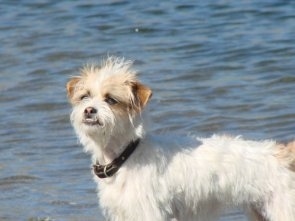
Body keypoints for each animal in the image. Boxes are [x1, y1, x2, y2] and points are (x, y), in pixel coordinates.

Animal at [67, 56, 295, 220]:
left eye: (111, 100)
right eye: (85, 96)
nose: (89, 110)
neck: (125, 155)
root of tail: (281, 153)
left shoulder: (147, 213)